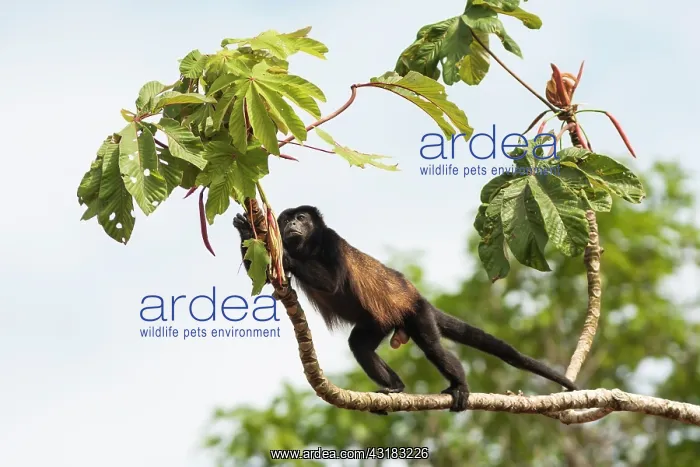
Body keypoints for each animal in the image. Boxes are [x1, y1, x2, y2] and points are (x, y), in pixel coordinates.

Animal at [233, 206, 579, 413]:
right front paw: (247, 232)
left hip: (417, 313)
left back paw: (460, 386)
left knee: (434, 348)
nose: (292, 222)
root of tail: (418, 297)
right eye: (287, 219)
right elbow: (263, 275)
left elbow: (331, 282)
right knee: (360, 345)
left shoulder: (331, 241)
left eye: (302, 217)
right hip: (381, 321)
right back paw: (394, 387)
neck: (307, 246)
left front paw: (284, 257)